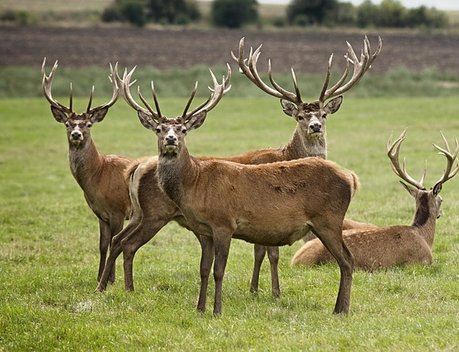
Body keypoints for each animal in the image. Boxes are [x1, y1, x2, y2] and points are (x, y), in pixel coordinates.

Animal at [41, 57, 142, 284]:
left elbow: (114, 242)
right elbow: (102, 245)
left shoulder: (118, 210)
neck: (98, 176)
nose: (76, 134)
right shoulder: (100, 214)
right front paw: (98, 277)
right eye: (68, 124)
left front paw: (111, 279)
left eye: (88, 124)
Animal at [96, 35, 380, 296]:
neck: (285, 154)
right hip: (155, 213)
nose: (315, 126)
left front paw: (256, 289)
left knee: (118, 240)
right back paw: (121, 287)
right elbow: (269, 254)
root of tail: (136, 168)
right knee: (127, 244)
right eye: (300, 115)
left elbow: (260, 252)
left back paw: (107, 284)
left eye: (323, 114)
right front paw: (271, 292)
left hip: (139, 212)